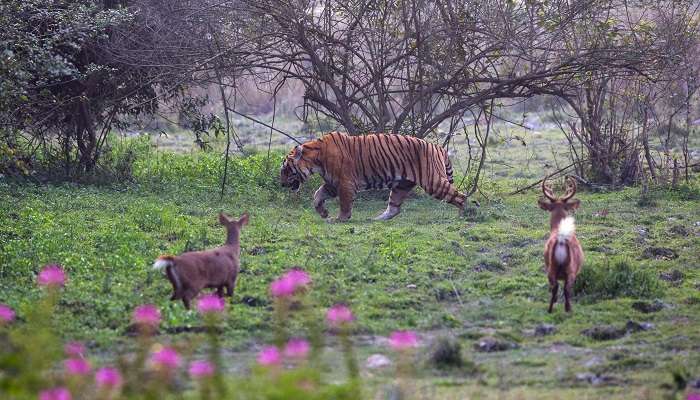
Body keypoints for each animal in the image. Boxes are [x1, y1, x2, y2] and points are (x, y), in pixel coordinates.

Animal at [278, 133, 464, 223]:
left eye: (286, 169)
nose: (281, 184)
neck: (316, 159)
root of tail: (438, 147)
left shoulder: (344, 183)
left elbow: (344, 203)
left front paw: (340, 219)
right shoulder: (331, 184)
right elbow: (317, 196)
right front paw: (323, 213)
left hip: (433, 182)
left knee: (461, 197)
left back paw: (465, 214)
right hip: (401, 186)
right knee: (394, 208)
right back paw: (376, 219)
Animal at [540, 177, 584, 312]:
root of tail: (561, 240)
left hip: (551, 269)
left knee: (555, 287)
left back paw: (550, 308)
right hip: (570, 270)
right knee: (564, 289)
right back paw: (567, 309)